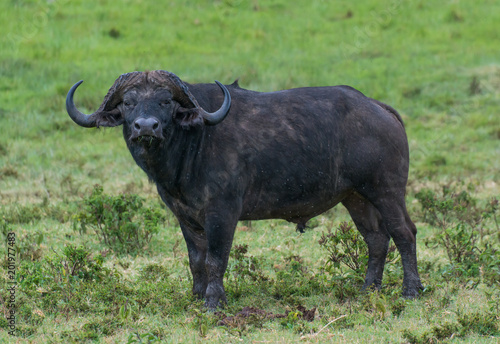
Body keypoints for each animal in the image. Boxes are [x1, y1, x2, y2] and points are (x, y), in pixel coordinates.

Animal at [66, 70, 422, 310]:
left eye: (165, 101)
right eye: (128, 102)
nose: (146, 127)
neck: (191, 145)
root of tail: (379, 108)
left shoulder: (222, 213)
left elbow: (215, 259)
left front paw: (214, 302)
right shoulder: (184, 216)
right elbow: (195, 260)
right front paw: (196, 297)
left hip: (386, 191)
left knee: (404, 232)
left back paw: (411, 290)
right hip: (356, 198)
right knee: (376, 239)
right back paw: (368, 289)